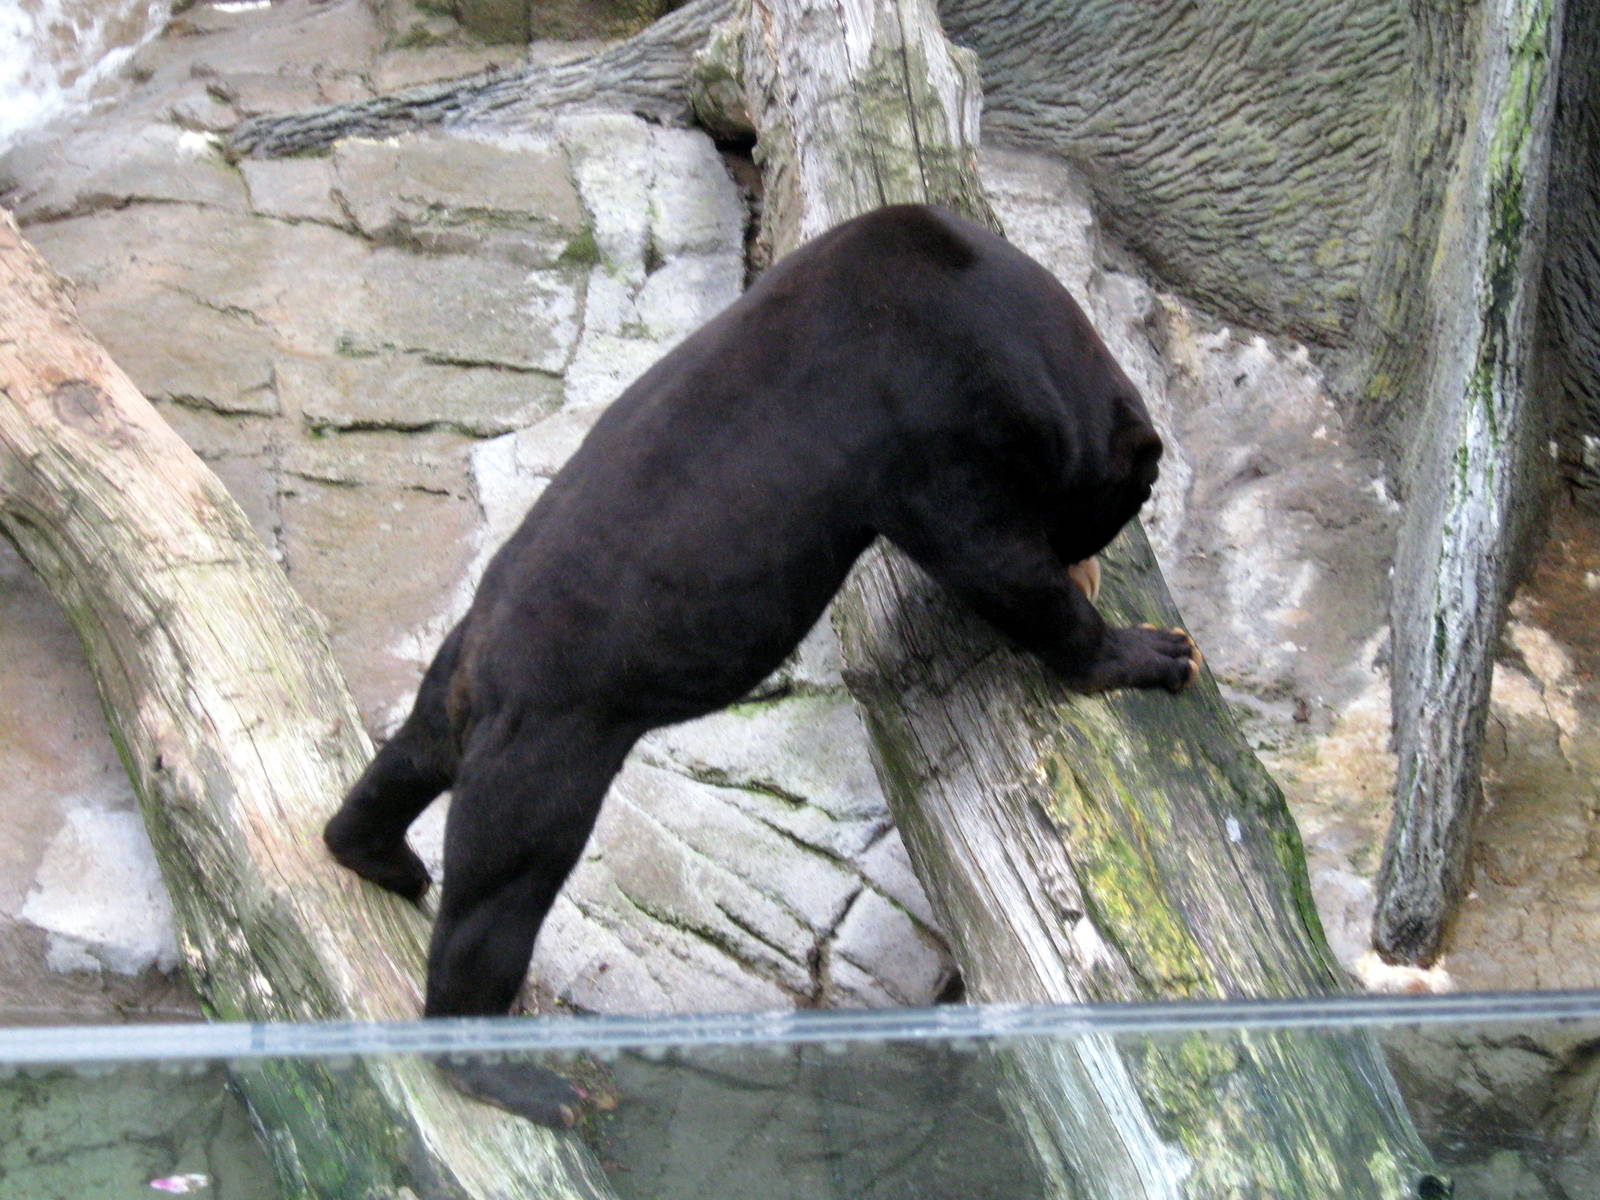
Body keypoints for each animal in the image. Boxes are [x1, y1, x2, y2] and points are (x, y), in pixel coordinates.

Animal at [323, 203, 1199, 1126]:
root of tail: (483, 675)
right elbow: (1003, 571)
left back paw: (381, 858)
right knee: (500, 898)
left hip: (455, 690)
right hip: (549, 750)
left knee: (403, 763)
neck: (1000, 309)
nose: (1090, 554)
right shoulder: (940, 429)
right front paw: (1159, 651)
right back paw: (530, 1080)